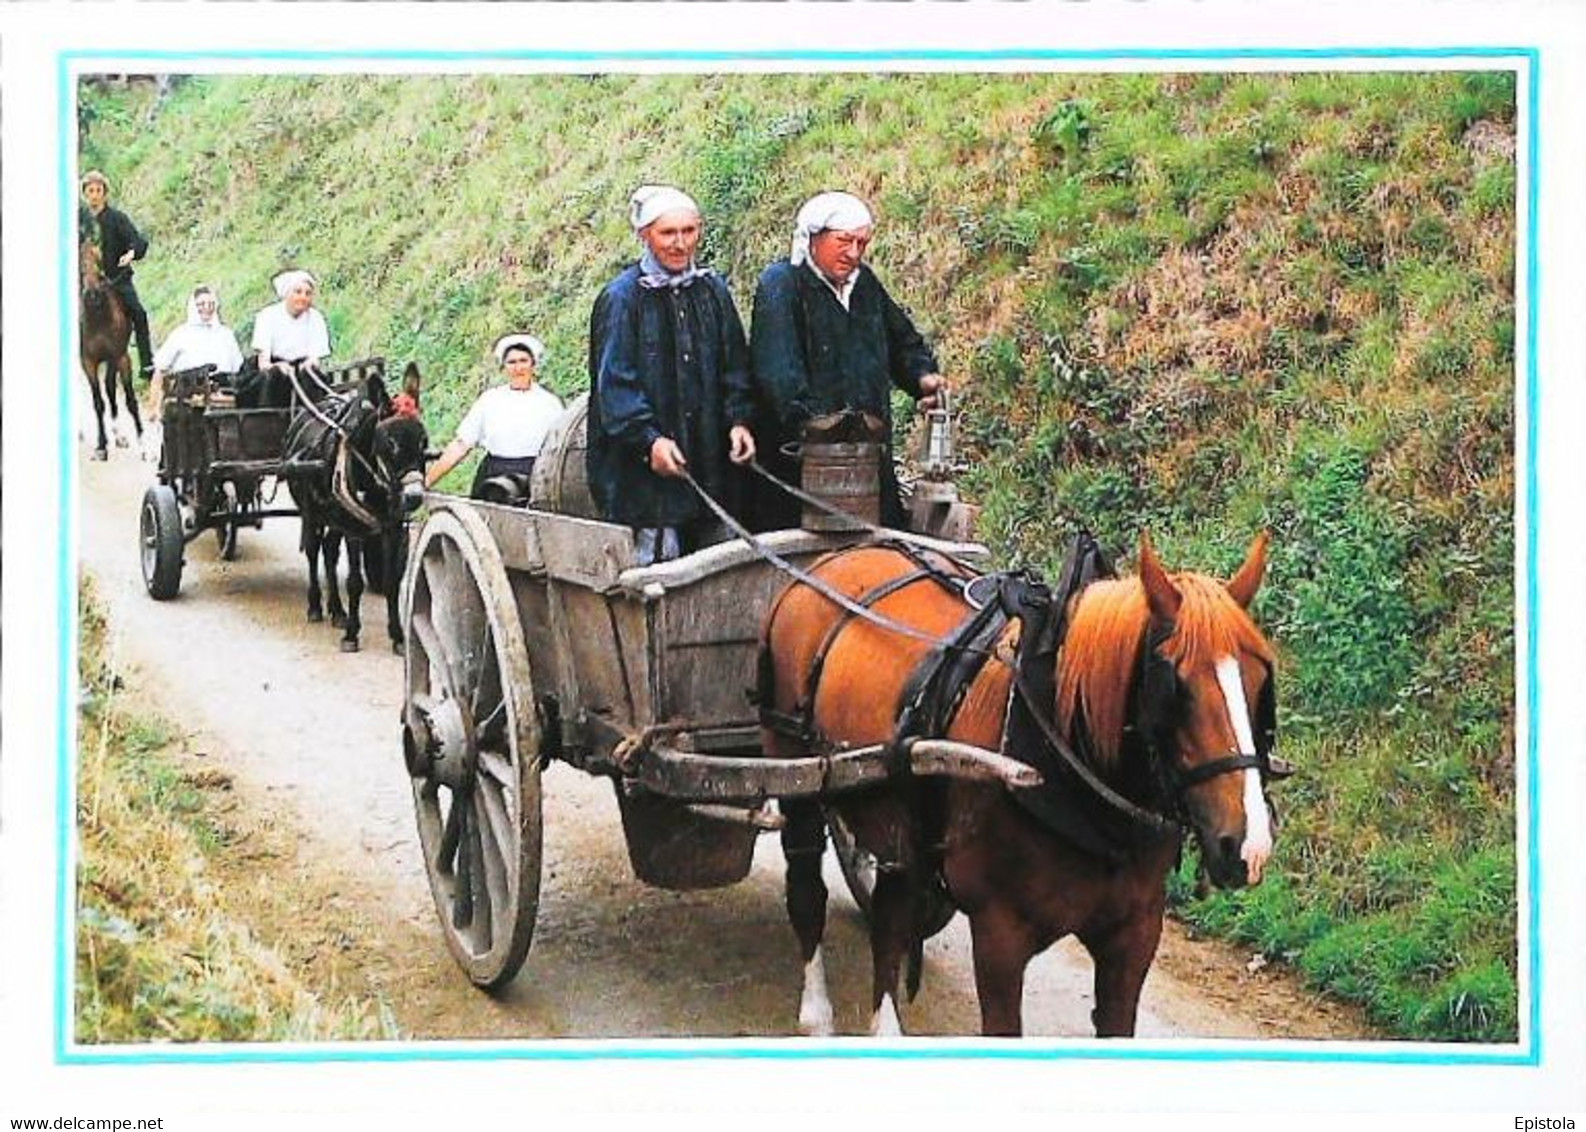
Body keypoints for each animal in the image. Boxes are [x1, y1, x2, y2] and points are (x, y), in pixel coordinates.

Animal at [76, 240, 142, 459]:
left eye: (98, 261)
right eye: (79, 264)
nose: (93, 295)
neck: (99, 318)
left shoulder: (120, 357)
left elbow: (130, 400)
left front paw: (143, 446)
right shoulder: (88, 362)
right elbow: (98, 402)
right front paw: (101, 445)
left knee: (111, 388)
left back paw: (119, 435)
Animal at [754, 529, 1275, 1033]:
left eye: (1258, 682)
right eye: (1176, 688)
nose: (1247, 847)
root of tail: (833, 557)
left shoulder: (1134, 936)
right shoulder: (1000, 934)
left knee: (890, 917)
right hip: (794, 770)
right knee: (807, 888)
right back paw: (817, 1011)